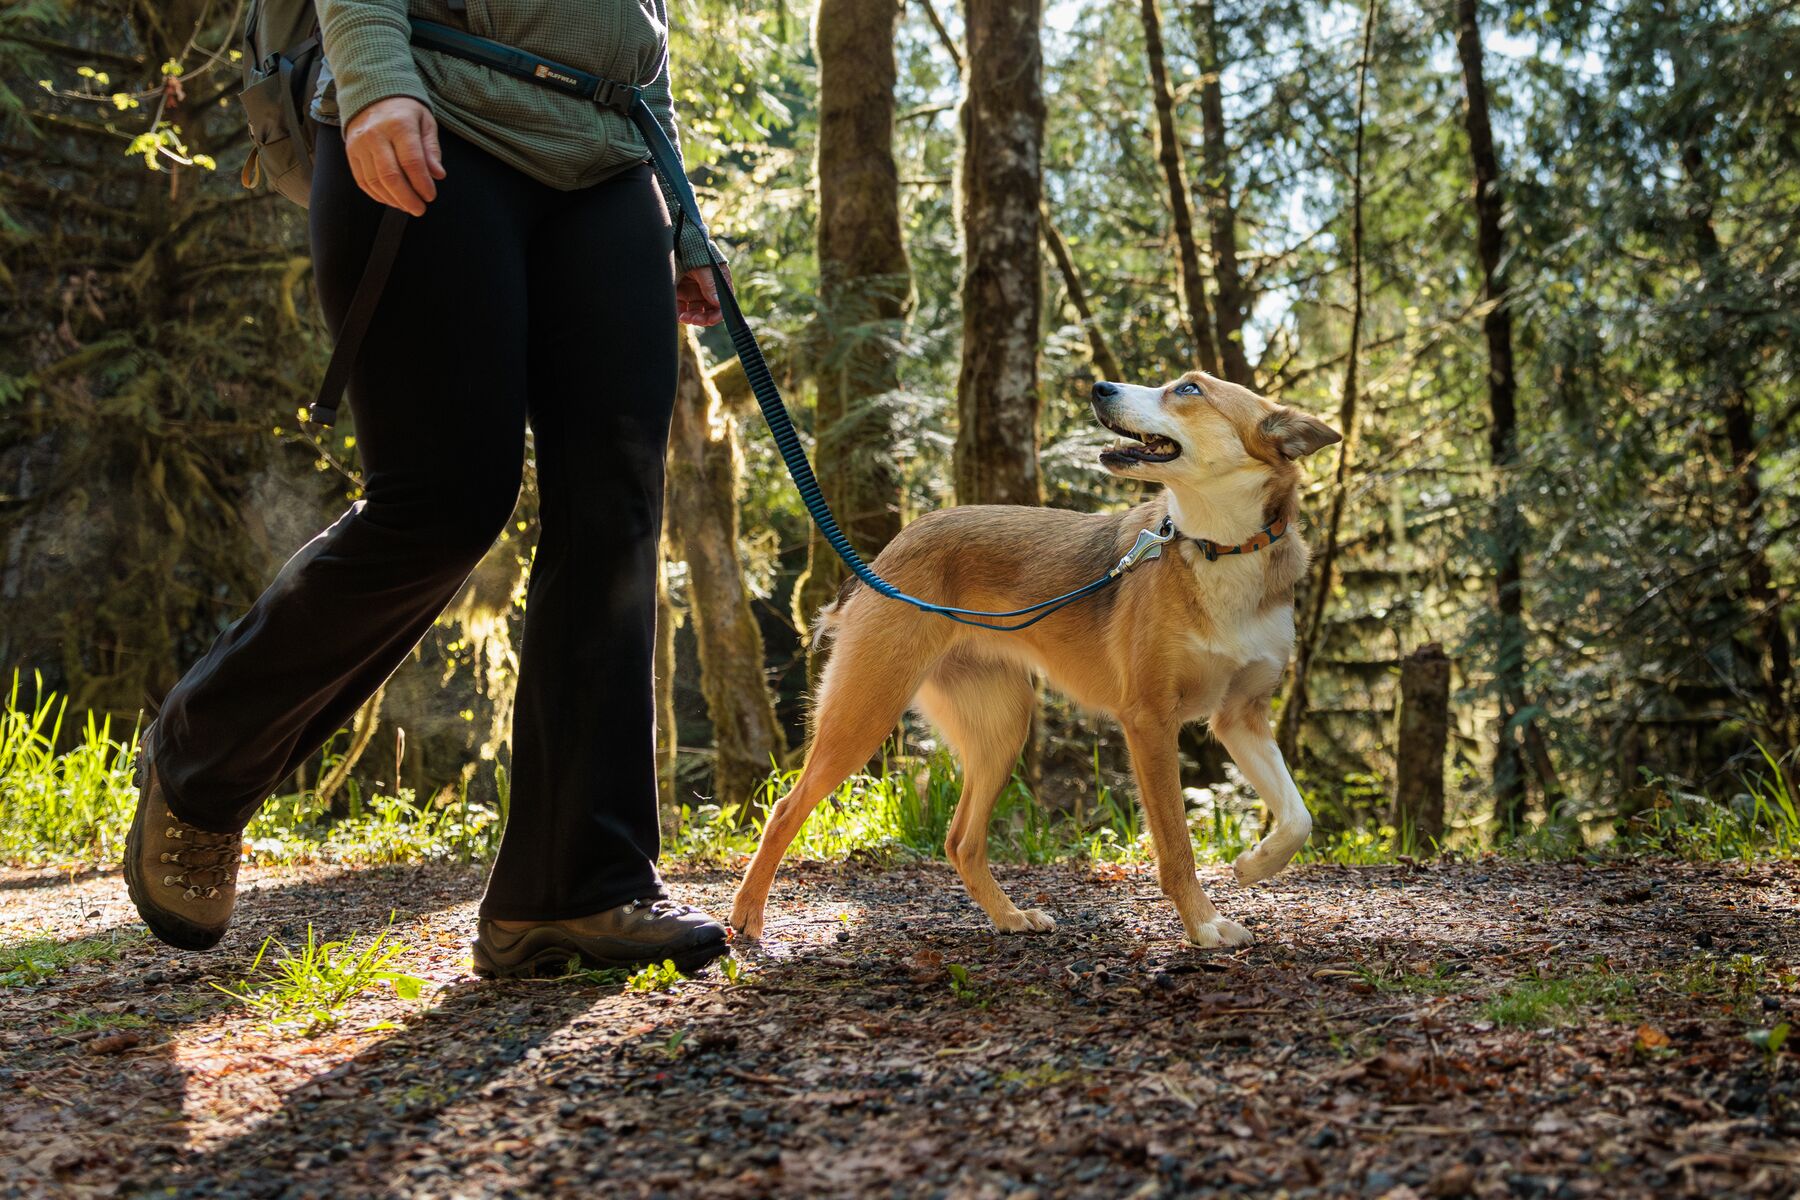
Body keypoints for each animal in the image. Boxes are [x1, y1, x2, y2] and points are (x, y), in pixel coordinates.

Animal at [727, 367, 1339, 949]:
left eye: (1189, 389)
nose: (1099, 387)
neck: (1218, 549)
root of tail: (889, 551)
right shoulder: (1149, 721)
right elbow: (1176, 845)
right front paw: (1204, 924)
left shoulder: (1241, 718)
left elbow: (1299, 816)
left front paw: (1255, 864)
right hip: (867, 711)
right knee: (785, 810)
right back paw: (748, 916)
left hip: (1003, 724)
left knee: (961, 841)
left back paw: (1010, 917)